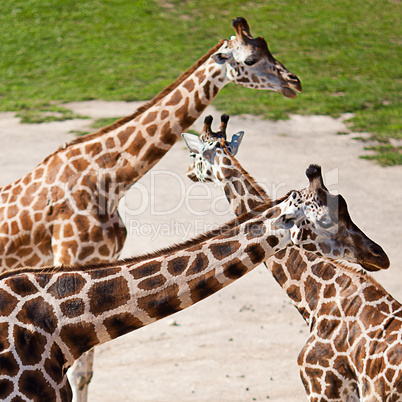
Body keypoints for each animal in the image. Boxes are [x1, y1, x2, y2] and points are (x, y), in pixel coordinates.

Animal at [0, 17, 302, 400]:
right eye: (250, 59)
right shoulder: (69, 256)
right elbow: (79, 369)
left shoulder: (99, 260)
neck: (109, 176)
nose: (294, 83)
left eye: (268, 48)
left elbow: (85, 373)